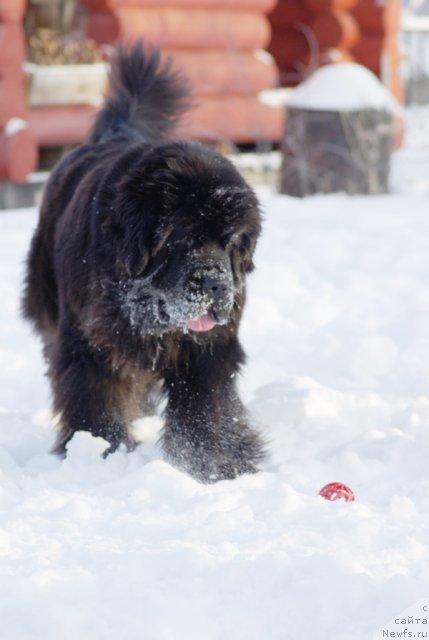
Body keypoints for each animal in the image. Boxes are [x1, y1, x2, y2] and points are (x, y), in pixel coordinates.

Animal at [23, 42, 266, 482]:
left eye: (232, 242)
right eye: (183, 238)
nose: (216, 284)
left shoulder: (209, 349)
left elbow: (206, 406)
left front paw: (213, 465)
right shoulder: (89, 342)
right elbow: (94, 396)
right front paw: (100, 453)